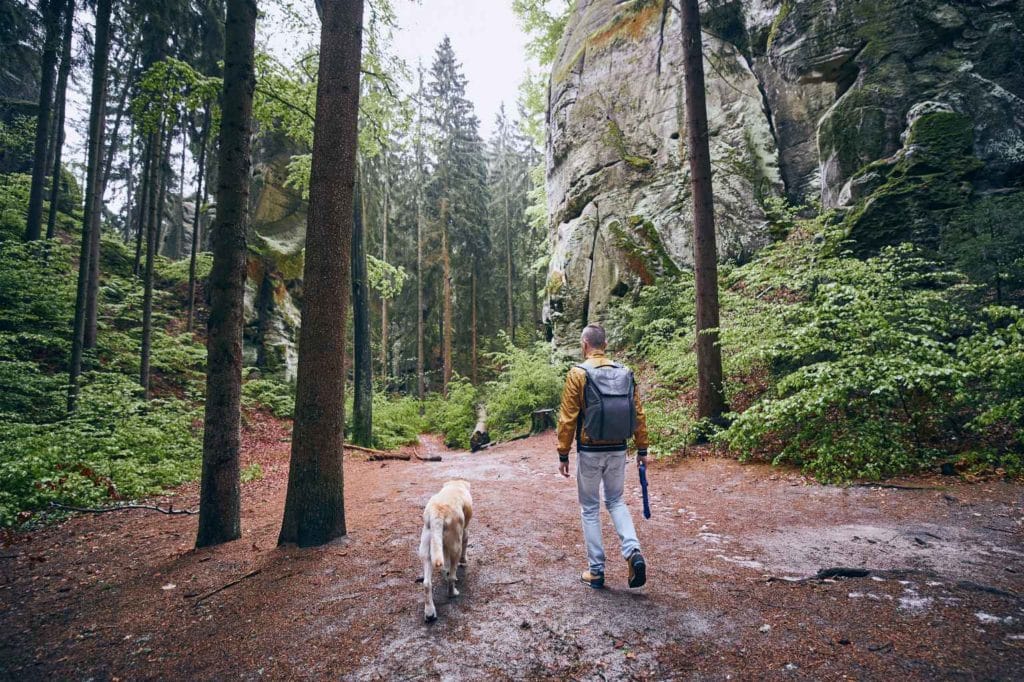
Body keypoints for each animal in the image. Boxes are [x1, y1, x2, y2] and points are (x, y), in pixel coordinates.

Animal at [417, 477, 473, 622]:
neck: (455, 485)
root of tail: (438, 513)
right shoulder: (465, 532)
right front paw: (464, 561)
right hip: (455, 547)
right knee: (452, 577)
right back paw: (452, 593)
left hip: (427, 551)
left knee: (427, 584)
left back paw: (430, 613)